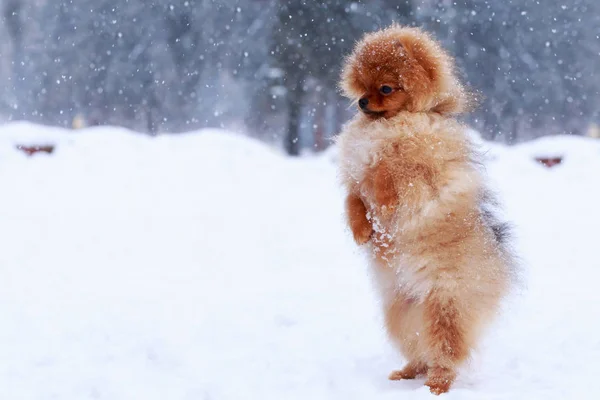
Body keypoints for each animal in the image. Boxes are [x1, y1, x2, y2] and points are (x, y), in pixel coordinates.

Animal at [336, 24, 512, 394]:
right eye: (362, 85)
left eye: (385, 88)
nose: (361, 102)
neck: (393, 121)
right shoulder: (355, 178)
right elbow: (353, 199)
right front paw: (362, 230)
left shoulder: (421, 170)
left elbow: (387, 169)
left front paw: (384, 200)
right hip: (402, 314)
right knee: (421, 349)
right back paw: (409, 372)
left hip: (444, 306)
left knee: (446, 351)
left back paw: (438, 384)